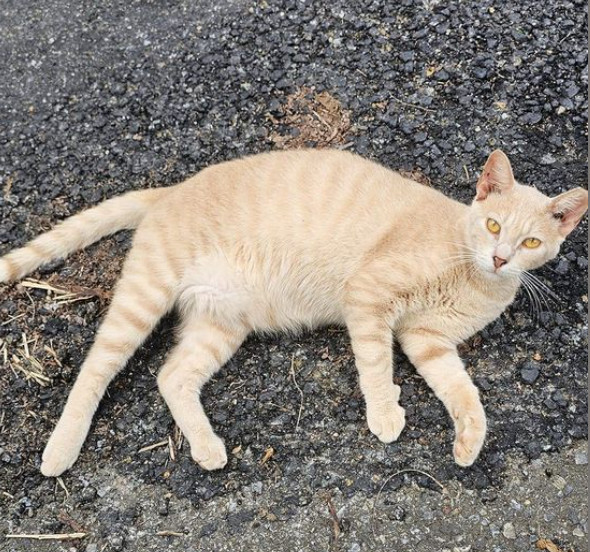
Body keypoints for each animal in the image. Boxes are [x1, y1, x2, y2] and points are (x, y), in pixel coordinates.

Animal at [0, 149, 588, 476]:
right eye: (493, 226)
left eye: (531, 241)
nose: (500, 257)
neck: (471, 276)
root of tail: (173, 188)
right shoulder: (369, 298)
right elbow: (375, 364)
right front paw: (385, 414)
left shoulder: (428, 341)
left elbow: (464, 392)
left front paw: (469, 439)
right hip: (144, 299)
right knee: (95, 369)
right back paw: (61, 448)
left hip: (221, 324)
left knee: (171, 376)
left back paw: (207, 449)